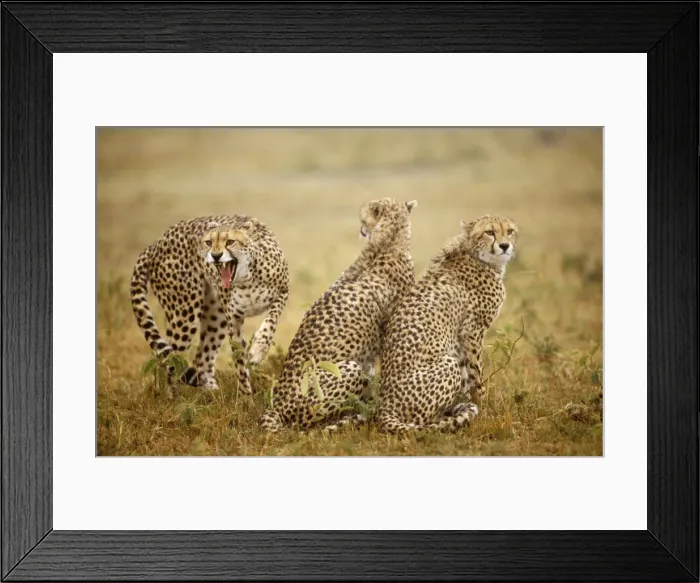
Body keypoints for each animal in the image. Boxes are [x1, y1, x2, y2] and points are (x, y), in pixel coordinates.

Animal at [130, 215, 289, 395]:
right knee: (171, 358)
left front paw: (257, 350)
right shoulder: (233, 319)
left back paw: (212, 394)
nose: (215, 255)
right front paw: (246, 395)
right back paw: (173, 398)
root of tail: (158, 242)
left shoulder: (282, 293)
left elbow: (270, 323)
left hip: (215, 317)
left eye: (230, 241)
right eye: (208, 242)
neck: (247, 279)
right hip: (185, 312)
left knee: (201, 359)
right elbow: (239, 359)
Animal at [259, 197, 418, 433]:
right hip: (344, 372)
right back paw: (352, 417)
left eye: (363, 220)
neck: (387, 241)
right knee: (308, 424)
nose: (361, 230)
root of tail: (277, 406)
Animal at [376, 214, 519, 434]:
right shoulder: (472, 332)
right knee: (421, 422)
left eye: (510, 231)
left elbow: (467, 376)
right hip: (446, 366)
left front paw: (471, 402)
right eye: (489, 232)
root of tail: (385, 406)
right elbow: (476, 375)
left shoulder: (460, 338)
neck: (475, 254)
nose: (504, 246)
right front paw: (483, 409)